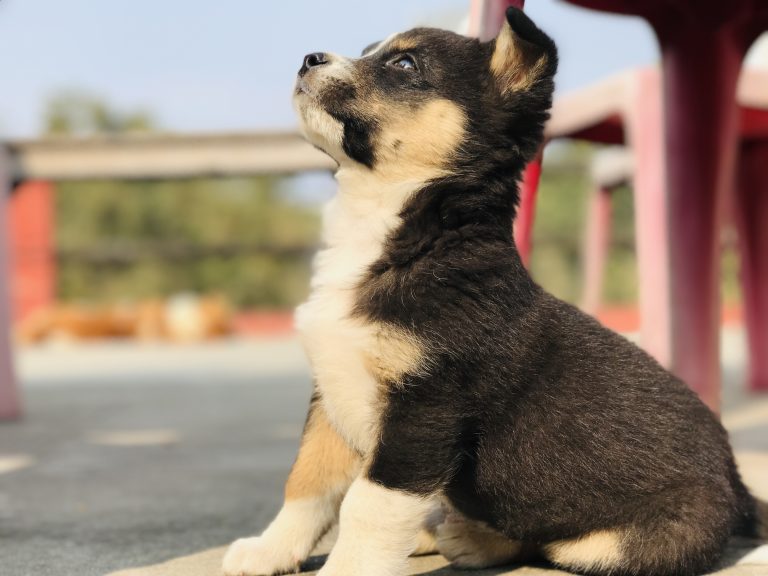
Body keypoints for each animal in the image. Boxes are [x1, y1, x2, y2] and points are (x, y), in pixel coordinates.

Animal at [225, 9, 764, 576]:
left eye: (404, 64)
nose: (308, 59)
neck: (398, 234)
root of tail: (738, 488)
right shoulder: (330, 394)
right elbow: (305, 483)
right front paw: (267, 550)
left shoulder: (424, 412)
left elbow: (366, 507)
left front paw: (345, 568)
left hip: (609, 545)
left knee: (544, 541)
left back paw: (465, 537)